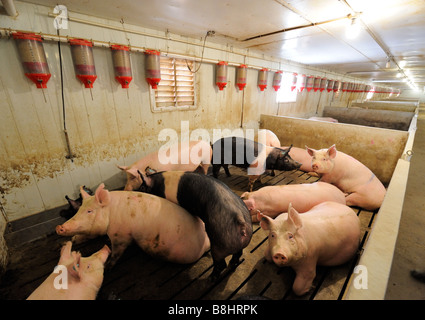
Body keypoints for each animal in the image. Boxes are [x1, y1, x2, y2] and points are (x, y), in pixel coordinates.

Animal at [56, 184, 209, 266]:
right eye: (79, 209)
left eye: (89, 211)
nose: (59, 228)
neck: (111, 212)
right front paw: (70, 240)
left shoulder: (121, 235)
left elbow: (117, 251)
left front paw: (109, 265)